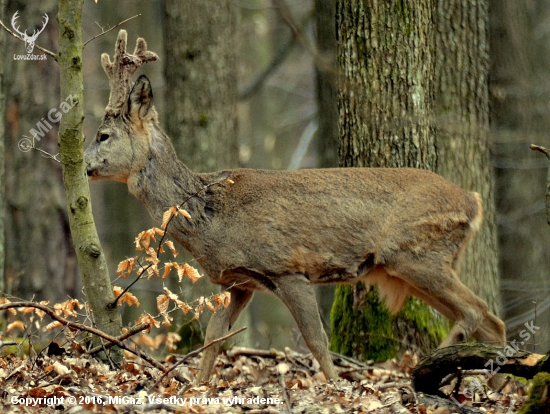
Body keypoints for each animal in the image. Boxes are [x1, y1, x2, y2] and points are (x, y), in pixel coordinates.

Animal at [85, 30, 508, 384]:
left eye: (103, 135)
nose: (83, 165)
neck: (212, 217)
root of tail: (472, 201)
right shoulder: (240, 282)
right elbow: (213, 338)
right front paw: (199, 387)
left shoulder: (287, 267)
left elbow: (316, 341)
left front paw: (335, 390)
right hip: (414, 262)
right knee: (492, 323)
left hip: (416, 252)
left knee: (478, 313)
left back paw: (425, 372)